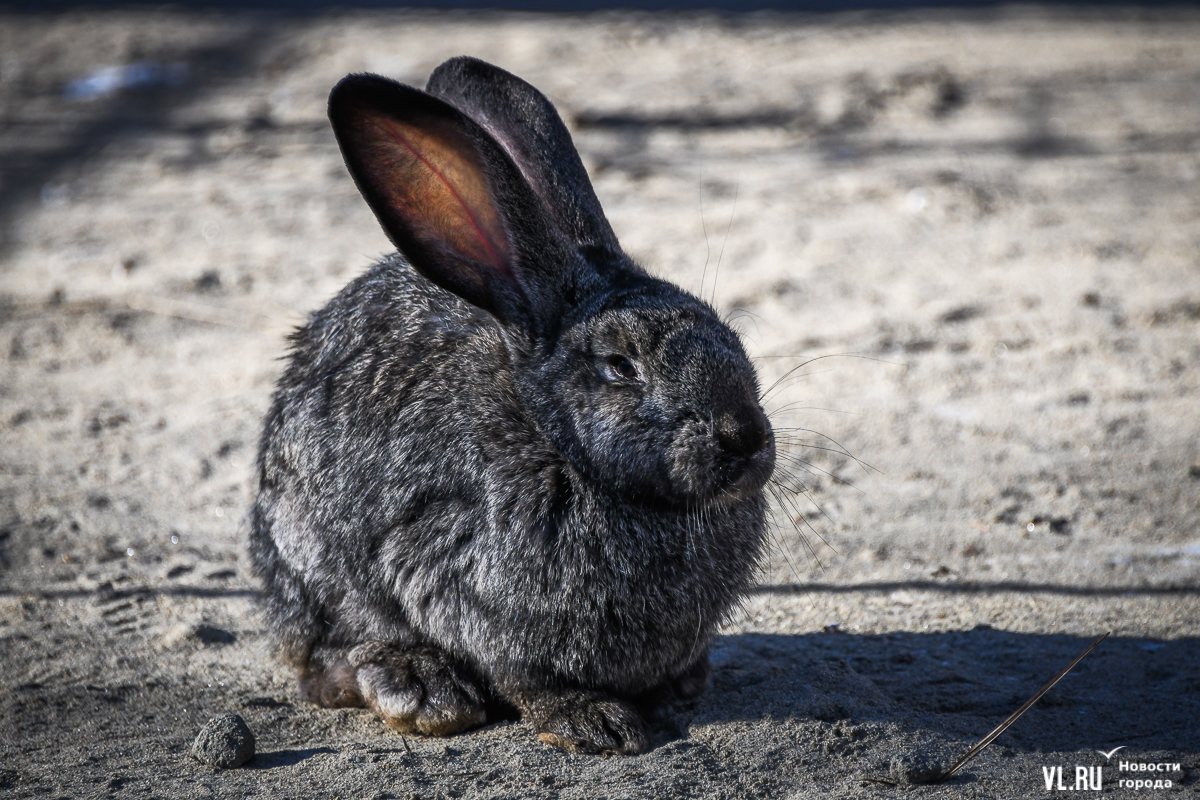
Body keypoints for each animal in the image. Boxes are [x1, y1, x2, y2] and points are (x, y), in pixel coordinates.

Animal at [250, 57, 777, 758]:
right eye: (620, 367)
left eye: (731, 337)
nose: (746, 437)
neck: (558, 444)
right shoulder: (460, 577)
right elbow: (524, 677)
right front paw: (594, 721)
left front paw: (675, 690)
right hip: (315, 564)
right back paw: (423, 688)